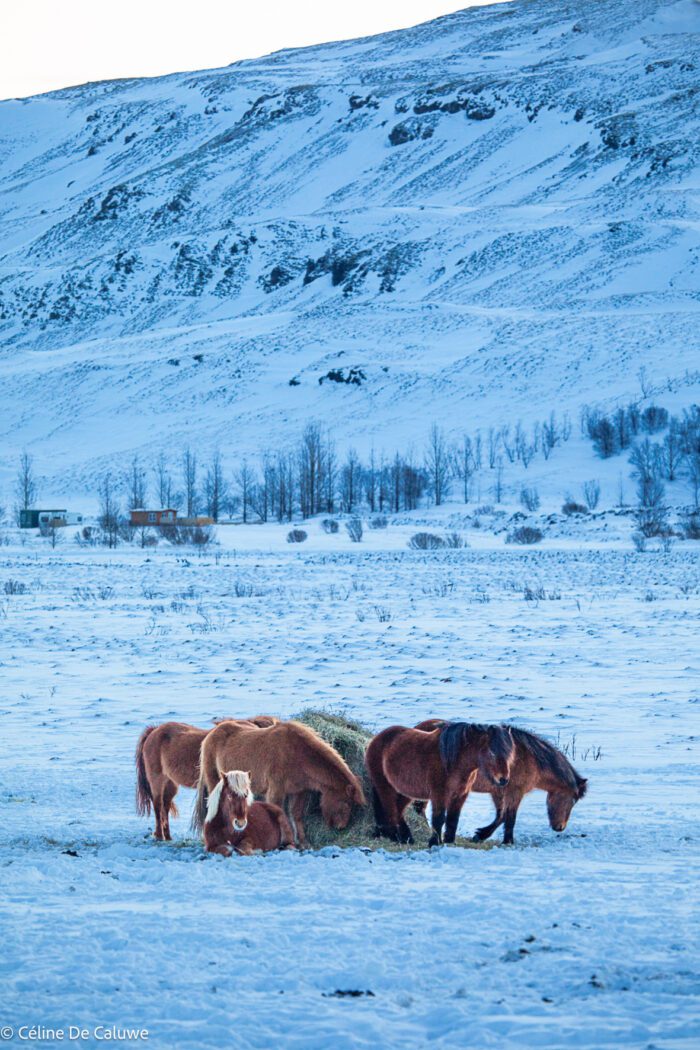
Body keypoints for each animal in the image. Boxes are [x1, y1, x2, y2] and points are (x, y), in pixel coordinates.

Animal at [135, 715, 278, 840]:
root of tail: (154, 731)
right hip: (157, 781)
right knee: (158, 806)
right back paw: (160, 836)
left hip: (171, 784)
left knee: (165, 807)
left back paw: (168, 837)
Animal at [193, 719, 366, 847]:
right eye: (346, 802)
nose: (340, 826)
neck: (296, 753)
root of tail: (210, 734)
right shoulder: (276, 791)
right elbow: (278, 812)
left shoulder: (299, 792)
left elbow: (296, 815)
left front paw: (303, 843)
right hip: (215, 781)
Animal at [365, 722, 514, 847]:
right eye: (492, 752)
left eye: (509, 754)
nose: (503, 779)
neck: (453, 760)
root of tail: (376, 739)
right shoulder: (439, 794)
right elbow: (439, 818)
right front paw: (434, 842)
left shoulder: (460, 795)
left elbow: (453, 819)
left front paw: (449, 841)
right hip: (385, 786)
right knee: (390, 810)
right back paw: (395, 837)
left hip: (404, 791)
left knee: (398, 811)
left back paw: (406, 838)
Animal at [413, 719, 588, 844]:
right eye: (573, 800)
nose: (560, 828)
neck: (529, 759)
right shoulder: (514, 792)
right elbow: (509, 817)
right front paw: (506, 841)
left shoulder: (499, 792)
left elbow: (500, 815)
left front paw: (480, 835)